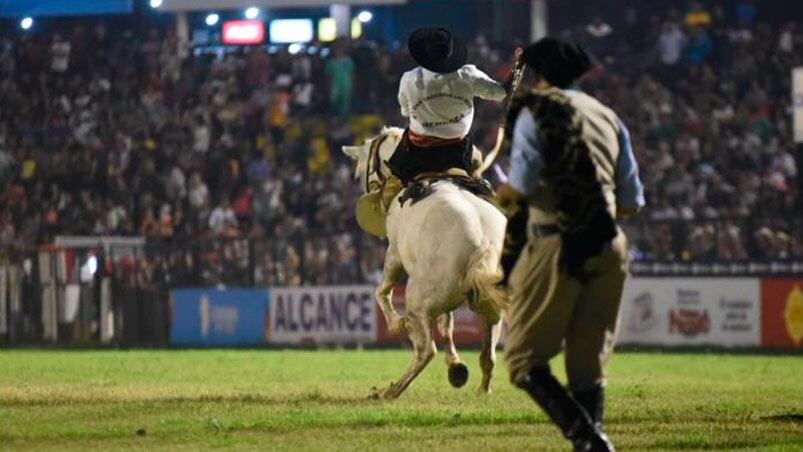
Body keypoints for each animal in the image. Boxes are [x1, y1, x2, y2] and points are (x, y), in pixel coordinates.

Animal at [342, 127, 506, 400]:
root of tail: (484, 246)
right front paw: (455, 363)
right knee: (488, 355)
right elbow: (447, 324)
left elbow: (382, 291)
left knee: (426, 350)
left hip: (418, 300)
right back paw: (481, 388)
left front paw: (396, 323)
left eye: (359, 169)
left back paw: (392, 389)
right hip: (490, 308)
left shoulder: (394, 254)